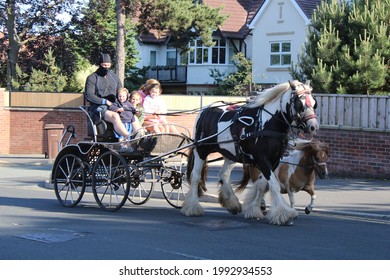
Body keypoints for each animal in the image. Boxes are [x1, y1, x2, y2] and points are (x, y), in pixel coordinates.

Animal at [181, 80, 318, 225]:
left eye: (314, 103)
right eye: (300, 104)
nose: (313, 126)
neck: (267, 123)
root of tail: (205, 110)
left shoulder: (273, 161)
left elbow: (262, 185)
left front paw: (254, 210)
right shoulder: (263, 160)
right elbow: (274, 185)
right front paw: (283, 214)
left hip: (231, 154)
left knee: (223, 174)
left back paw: (232, 203)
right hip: (201, 150)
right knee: (196, 176)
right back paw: (192, 207)